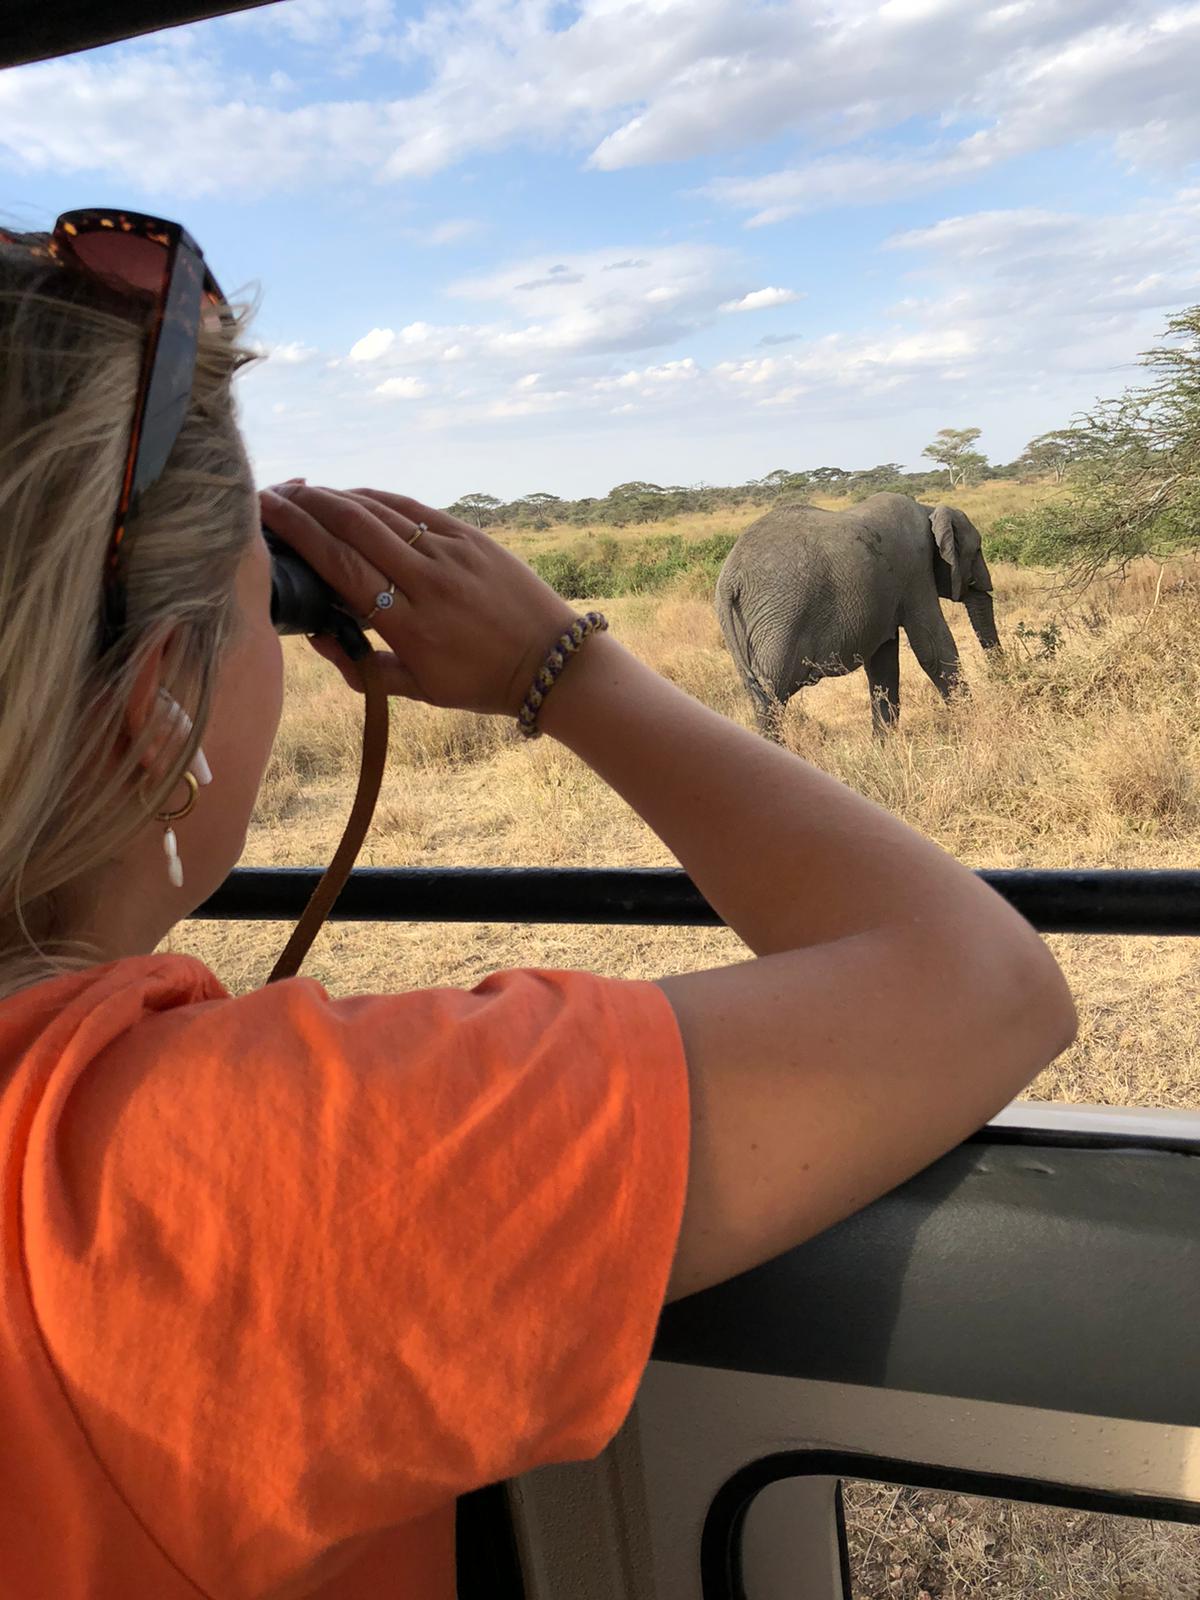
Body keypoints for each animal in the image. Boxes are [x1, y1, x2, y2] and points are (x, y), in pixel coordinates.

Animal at [713, 492, 1004, 736]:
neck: (929, 508)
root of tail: (731, 579)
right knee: (772, 698)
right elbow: (932, 649)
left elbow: (883, 666)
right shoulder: (915, 573)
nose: (1001, 679)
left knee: (760, 697)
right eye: (977, 551)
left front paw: (884, 750)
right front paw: (971, 725)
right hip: (779, 623)